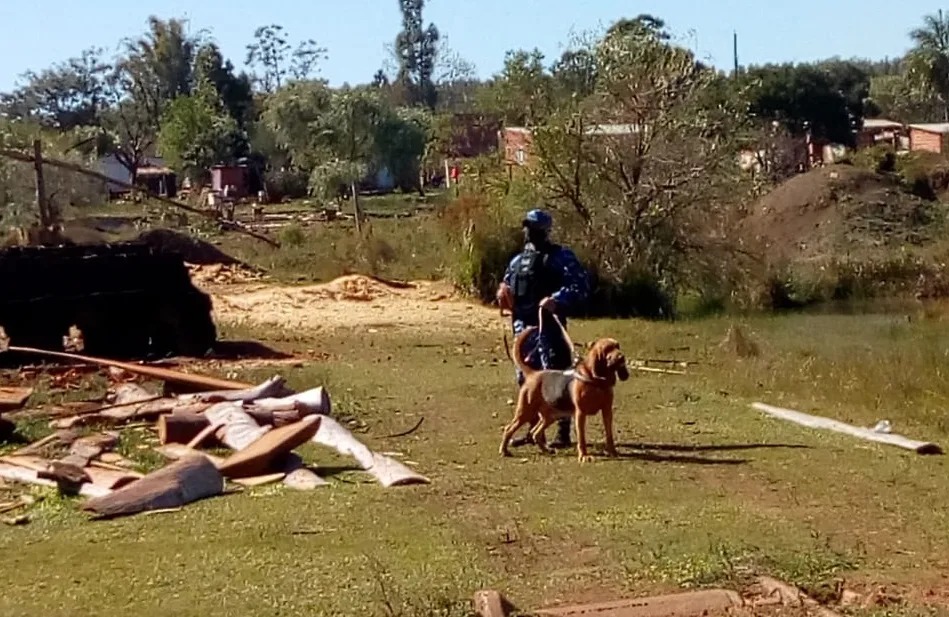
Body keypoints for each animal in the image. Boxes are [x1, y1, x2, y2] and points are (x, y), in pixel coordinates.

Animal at [496, 328, 628, 462]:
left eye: (617, 346)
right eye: (607, 349)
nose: (622, 357)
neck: (598, 382)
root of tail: (533, 373)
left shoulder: (607, 411)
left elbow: (609, 435)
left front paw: (613, 452)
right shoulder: (580, 414)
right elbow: (582, 438)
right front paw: (584, 456)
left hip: (550, 416)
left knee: (535, 433)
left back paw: (546, 450)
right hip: (525, 412)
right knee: (509, 429)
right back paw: (504, 451)